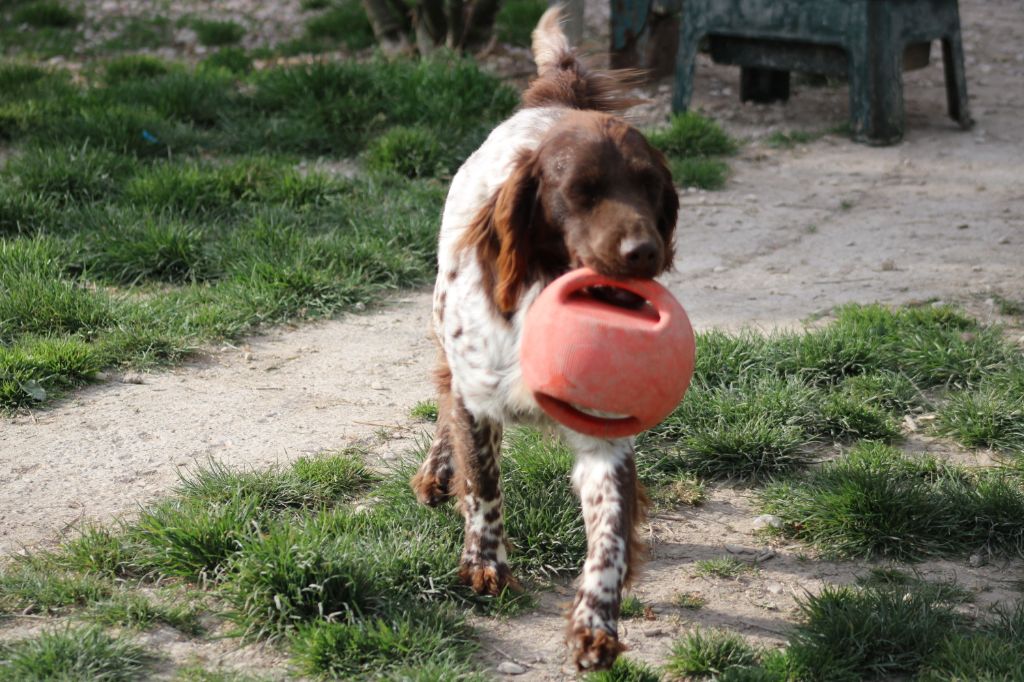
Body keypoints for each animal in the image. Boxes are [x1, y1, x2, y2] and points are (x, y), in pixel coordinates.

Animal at [407, 7, 679, 667]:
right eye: (581, 189)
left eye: (651, 187)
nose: (645, 252)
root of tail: (560, 98)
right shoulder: (478, 401)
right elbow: (482, 483)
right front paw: (485, 564)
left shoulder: (606, 440)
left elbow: (609, 536)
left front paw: (596, 624)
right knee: (445, 397)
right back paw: (437, 471)